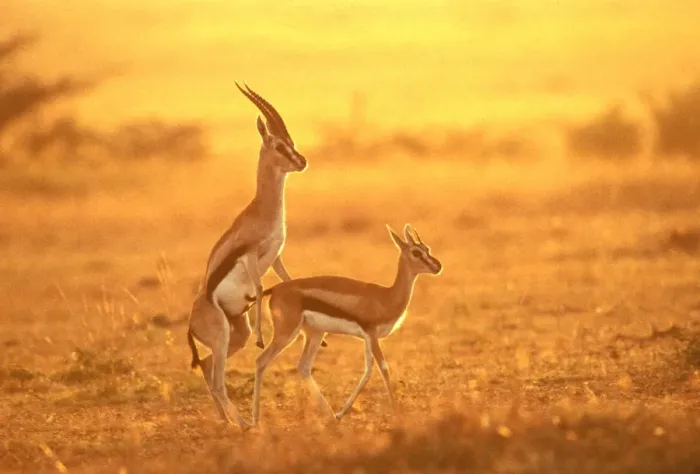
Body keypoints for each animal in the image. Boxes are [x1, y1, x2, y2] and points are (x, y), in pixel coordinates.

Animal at [187, 82, 315, 428]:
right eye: (278, 144)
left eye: (291, 142)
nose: (302, 161)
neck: (262, 210)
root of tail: (191, 322)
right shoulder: (250, 257)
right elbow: (258, 288)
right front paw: (262, 336)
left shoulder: (276, 256)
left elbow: (290, 280)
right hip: (222, 337)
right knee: (217, 379)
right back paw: (244, 424)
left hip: (235, 335)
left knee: (206, 366)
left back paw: (226, 421)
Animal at [250, 224, 442, 426]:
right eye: (416, 252)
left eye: (427, 248)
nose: (438, 266)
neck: (386, 297)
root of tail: (275, 289)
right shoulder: (372, 335)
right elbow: (383, 369)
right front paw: (397, 413)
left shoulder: (368, 338)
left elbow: (368, 372)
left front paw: (342, 413)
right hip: (287, 333)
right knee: (261, 361)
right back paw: (254, 420)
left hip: (315, 334)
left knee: (303, 367)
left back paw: (331, 416)